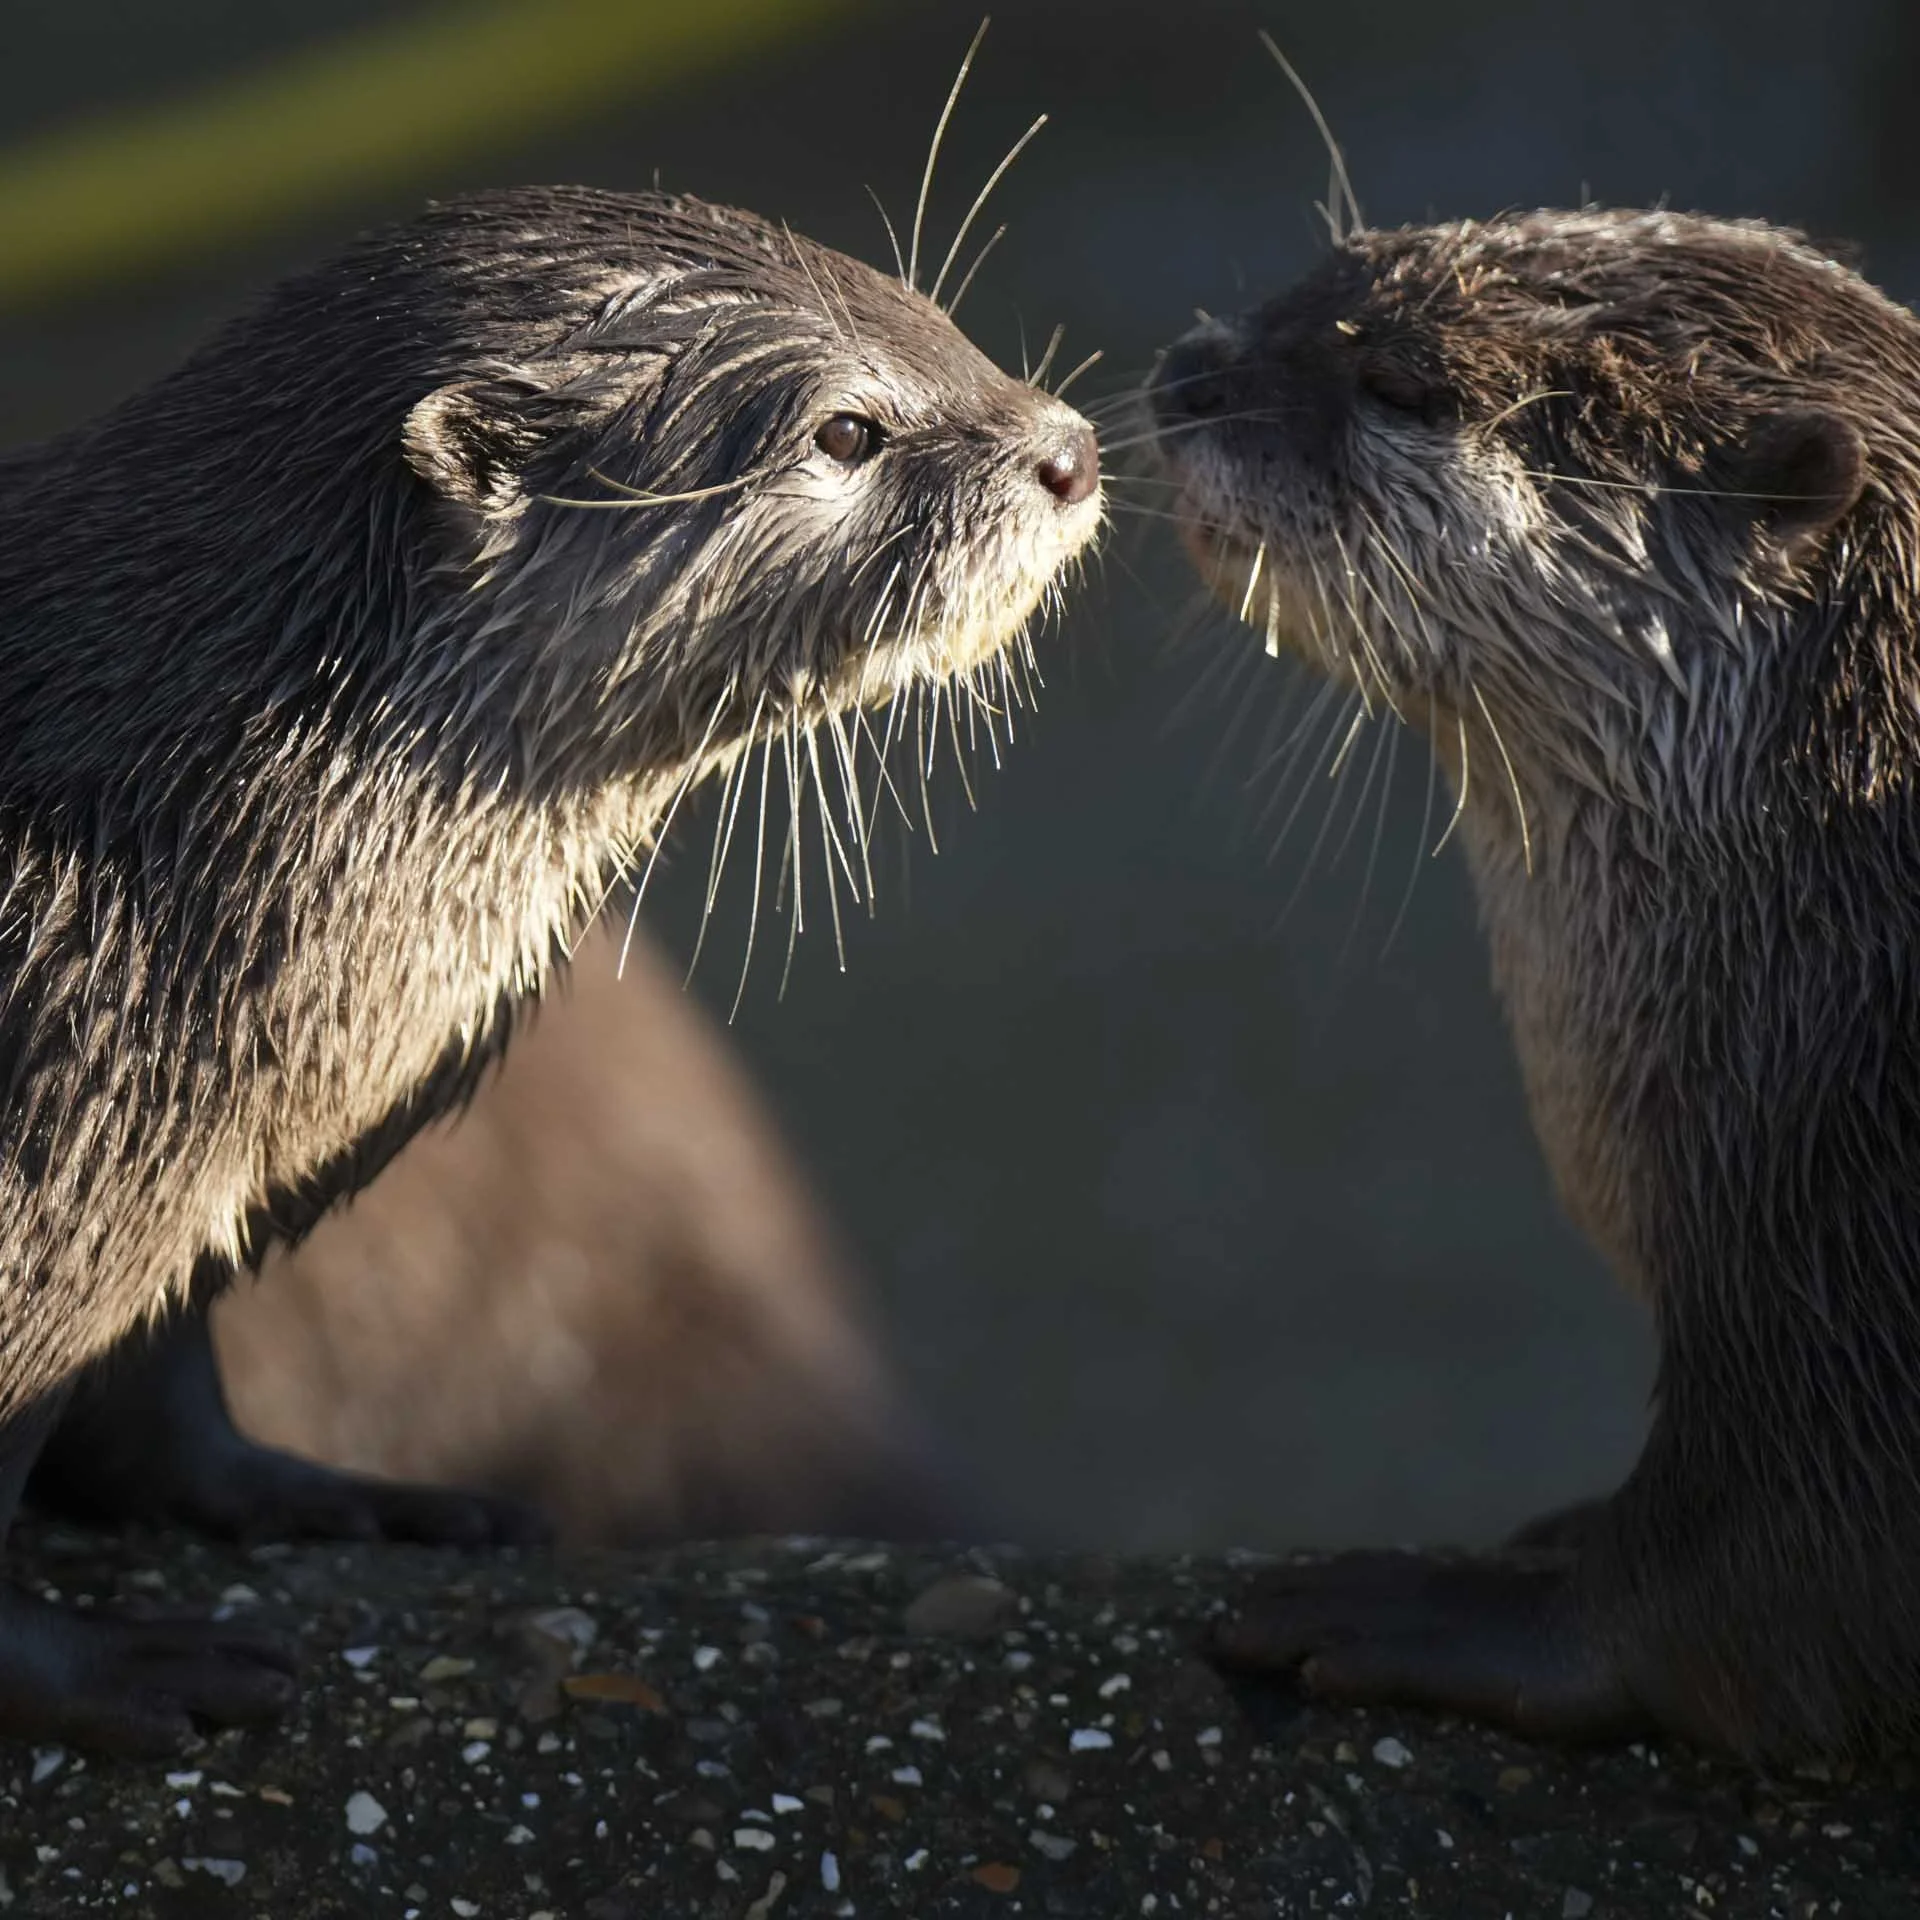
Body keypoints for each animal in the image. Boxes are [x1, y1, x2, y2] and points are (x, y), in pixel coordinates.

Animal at [0, 184, 1100, 1755]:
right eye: (845, 432)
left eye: (938, 321)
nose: (1070, 449)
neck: (163, 812)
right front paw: (114, 1676)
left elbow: (157, 1382)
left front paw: (337, 1503)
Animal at [1151, 208, 1920, 1763]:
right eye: (1310, 283)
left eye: (1403, 386)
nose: (1186, 374)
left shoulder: (1842, 1283)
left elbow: (1749, 1582)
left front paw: (1435, 1610)